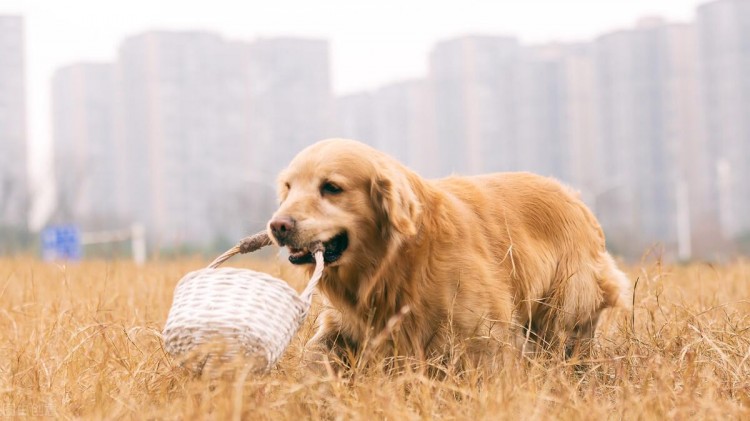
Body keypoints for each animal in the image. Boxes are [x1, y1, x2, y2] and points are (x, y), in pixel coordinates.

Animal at [268, 139, 632, 370]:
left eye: (331, 187)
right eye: (288, 187)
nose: (278, 226)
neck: (396, 262)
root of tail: (577, 200)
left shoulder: (483, 332)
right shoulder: (344, 326)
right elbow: (315, 355)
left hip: (562, 311)